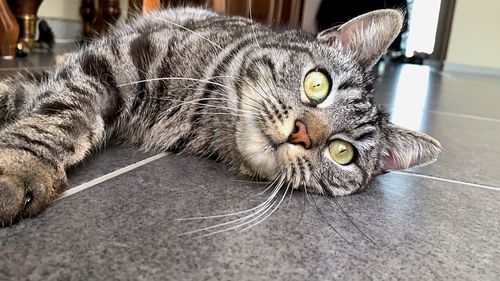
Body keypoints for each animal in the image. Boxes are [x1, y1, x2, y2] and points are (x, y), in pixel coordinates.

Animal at [0, 7, 440, 225]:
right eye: (318, 84)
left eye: (342, 153)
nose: (301, 134)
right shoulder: (116, 59)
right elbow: (60, 113)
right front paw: (21, 168)